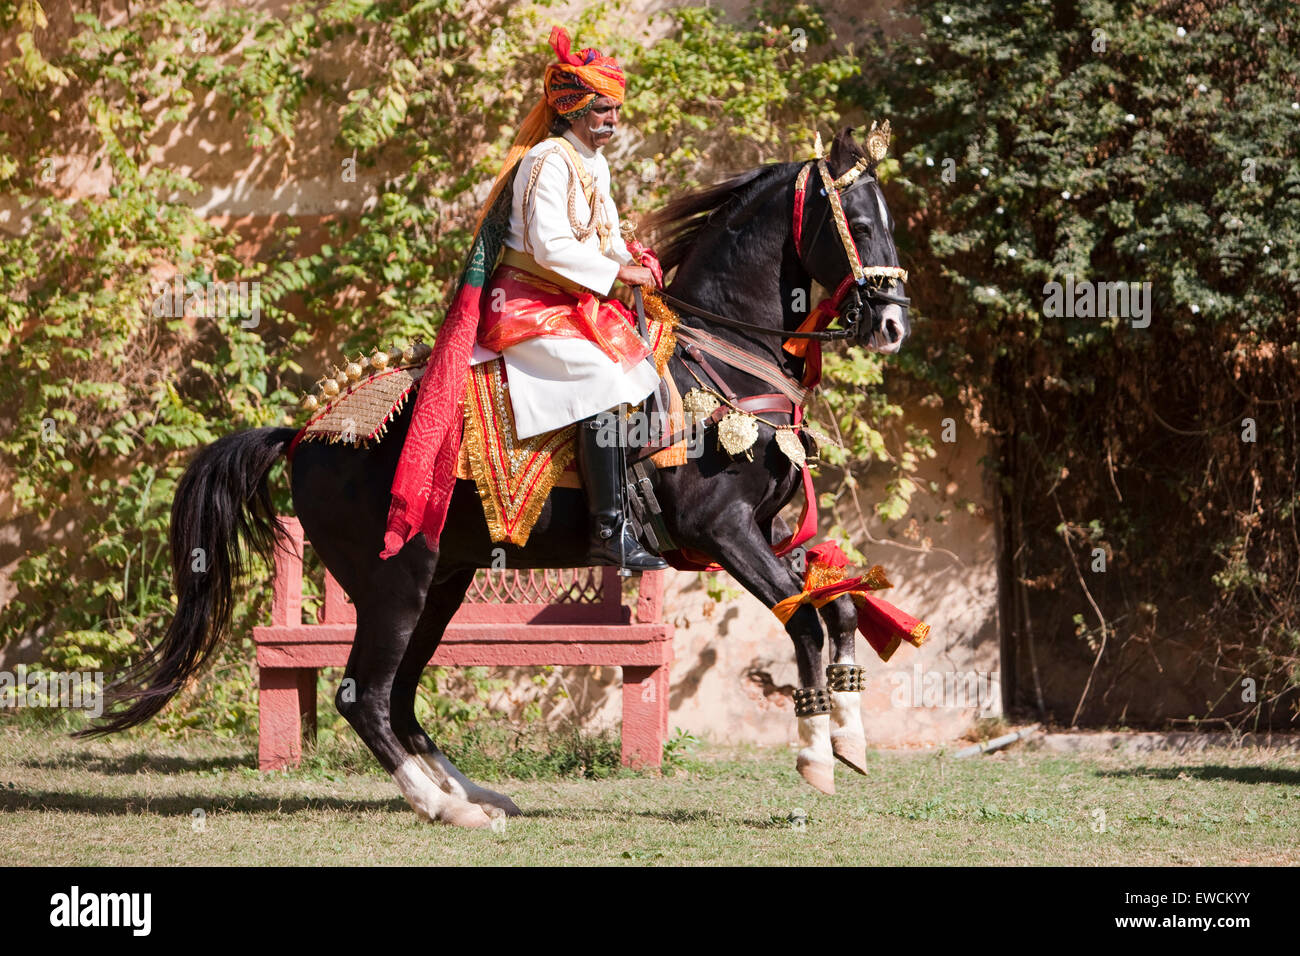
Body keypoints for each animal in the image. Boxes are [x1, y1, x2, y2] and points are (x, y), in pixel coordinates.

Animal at [85, 126, 912, 827]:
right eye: (859, 222)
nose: (893, 324)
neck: (724, 359)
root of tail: (305, 436)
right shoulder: (723, 531)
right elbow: (803, 619)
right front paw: (814, 757)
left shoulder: (768, 528)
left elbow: (839, 608)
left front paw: (849, 738)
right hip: (397, 582)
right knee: (364, 694)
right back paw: (443, 806)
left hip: (442, 584)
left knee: (400, 697)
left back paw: (470, 793)